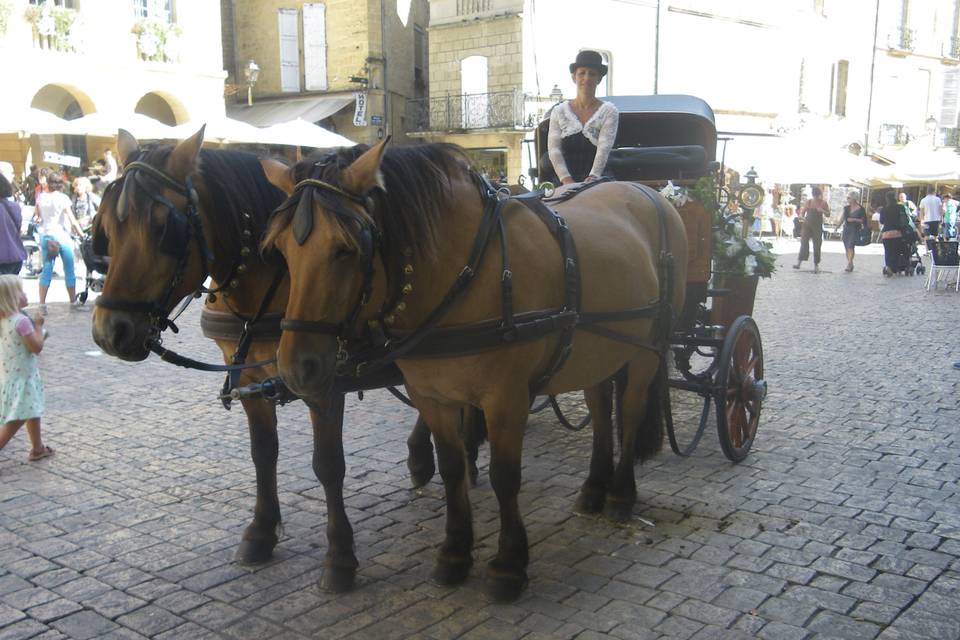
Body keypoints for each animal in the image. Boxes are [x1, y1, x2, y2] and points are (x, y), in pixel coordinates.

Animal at [88, 127, 470, 592]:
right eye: (106, 227)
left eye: (165, 228)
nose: (109, 331)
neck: (274, 282)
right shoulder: (249, 379)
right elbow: (262, 453)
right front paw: (261, 531)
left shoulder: (322, 382)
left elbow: (328, 465)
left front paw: (339, 557)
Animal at [258, 140, 688, 600]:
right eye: (280, 250)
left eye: (346, 249)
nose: (295, 367)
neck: (465, 275)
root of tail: (649, 193)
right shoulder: (432, 396)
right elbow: (451, 470)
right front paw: (455, 552)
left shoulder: (506, 398)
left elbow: (504, 475)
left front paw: (509, 565)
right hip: (598, 347)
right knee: (600, 405)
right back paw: (594, 488)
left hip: (647, 350)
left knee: (630, 409)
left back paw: (621, 495)